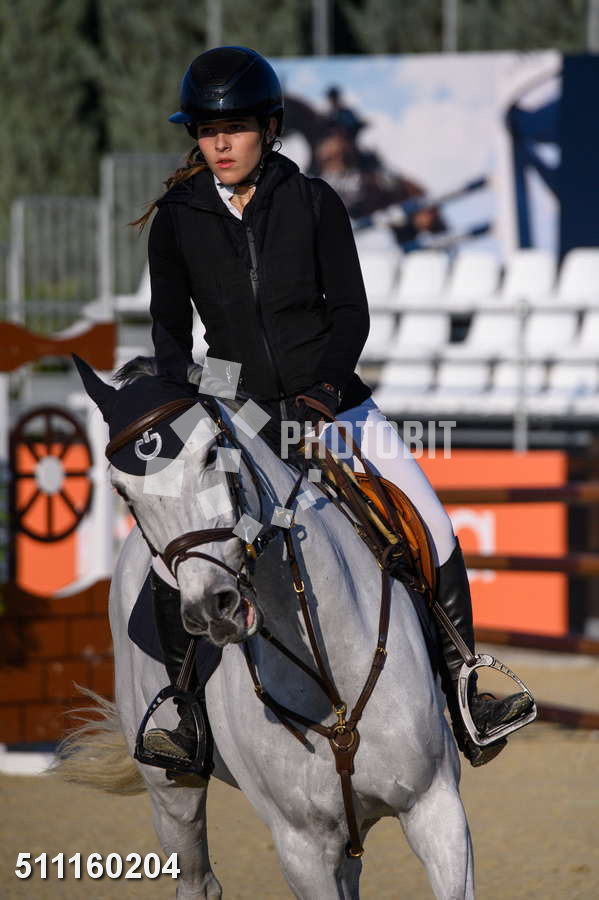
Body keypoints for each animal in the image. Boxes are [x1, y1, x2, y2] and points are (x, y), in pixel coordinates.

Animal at [56, 349, 474, 900]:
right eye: (123, 492)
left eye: (213, 453)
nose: (213, 610)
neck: (328, 675)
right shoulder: (303, 850)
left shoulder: (435, 807)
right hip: (171, 797)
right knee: (196, 879)